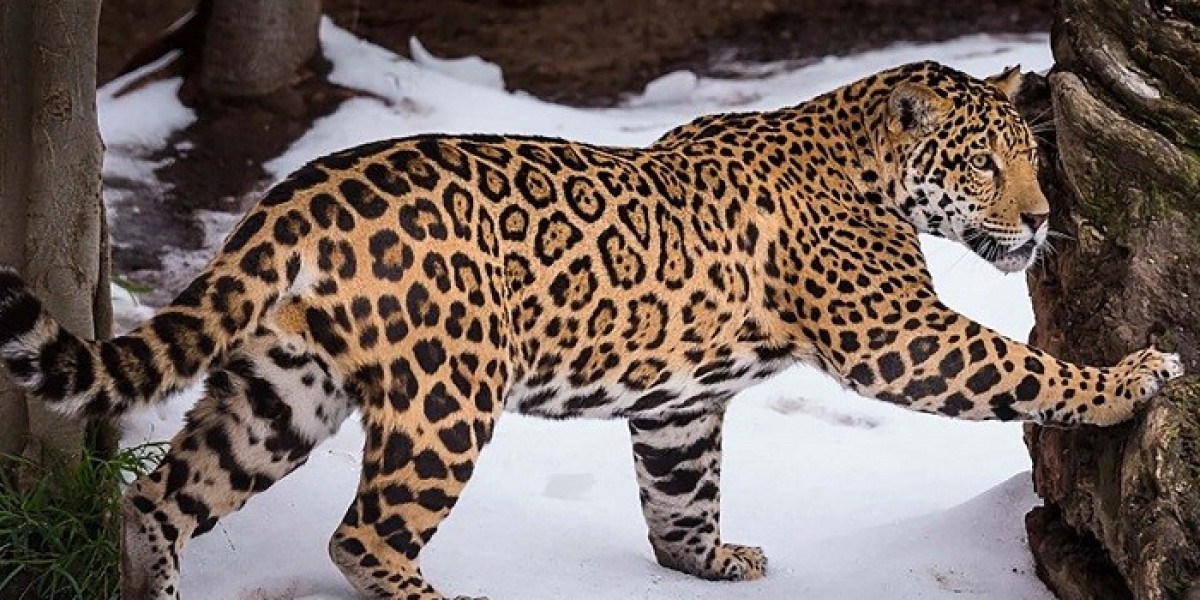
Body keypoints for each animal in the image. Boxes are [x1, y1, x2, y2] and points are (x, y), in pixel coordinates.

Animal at [0, 61, 1184, 600]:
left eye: (1030, 159)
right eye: (984, 165)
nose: (1039, 220)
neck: (865, 163)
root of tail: (294, 197)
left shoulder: (678, 405)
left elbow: (681, 493)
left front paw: (708, 560)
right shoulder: (900, 335)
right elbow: (1023, 365)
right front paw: (1133, 377)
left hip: (282, 387)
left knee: (160, 499)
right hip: (445, 398)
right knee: (362, 534)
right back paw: (443, 597)